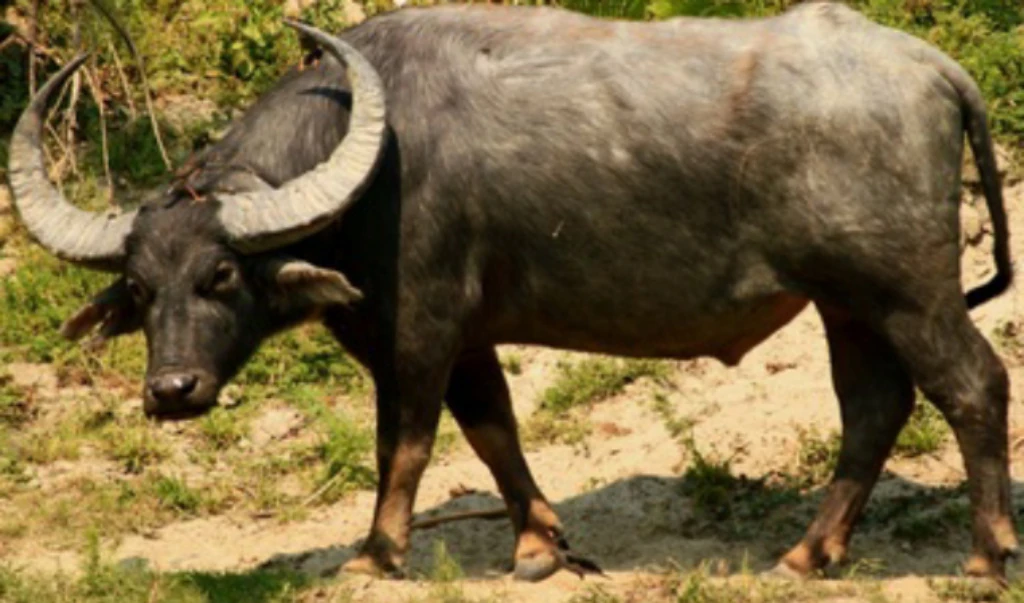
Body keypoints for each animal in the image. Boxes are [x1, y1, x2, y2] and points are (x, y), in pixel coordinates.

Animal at [7, 1, 1017, 584]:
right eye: (140, 288)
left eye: (220, 275)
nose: (172, 391)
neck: (376, 162)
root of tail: (934, 70)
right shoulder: (469, 334)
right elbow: (495, 430)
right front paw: (539, 545)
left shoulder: (418, 326)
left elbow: (404, 442)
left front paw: (376, 553)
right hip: (847, 303)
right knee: (875, 407)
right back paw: (808, 554)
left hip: (909, 291)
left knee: (973, 386)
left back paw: (986, 553)